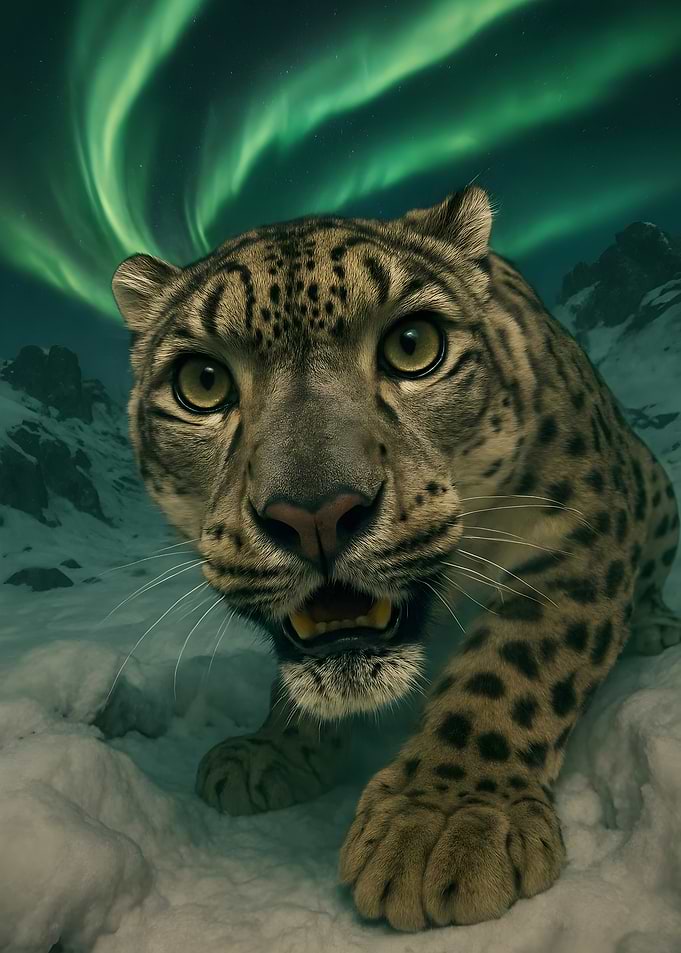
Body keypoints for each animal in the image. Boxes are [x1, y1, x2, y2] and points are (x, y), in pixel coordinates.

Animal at [112, 184, 681, 932]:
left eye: (414, 345)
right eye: (202, 382)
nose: (315, 513)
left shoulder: (582, 515)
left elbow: (517, 659)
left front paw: (446, 820)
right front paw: (271, 750)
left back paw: (652, 625)